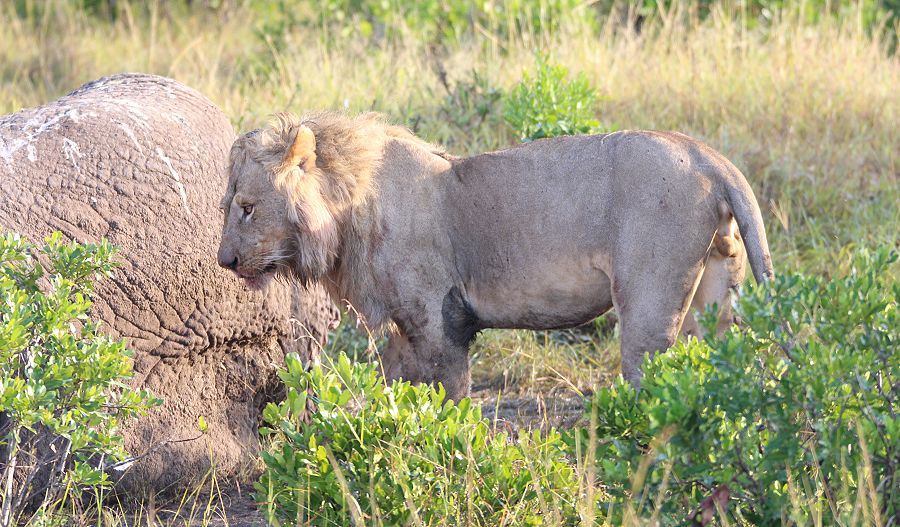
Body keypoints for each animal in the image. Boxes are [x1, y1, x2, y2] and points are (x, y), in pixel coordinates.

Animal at [218, 112, 772, 400]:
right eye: (227, 207)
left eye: (246, 208)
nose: (224, 263)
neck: (349, 205)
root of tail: (706, 154)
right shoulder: (403, 327)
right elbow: (397, 394)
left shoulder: (441, 320)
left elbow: (451, 399)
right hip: (716, 294)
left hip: (648, 305)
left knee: (650, 376)